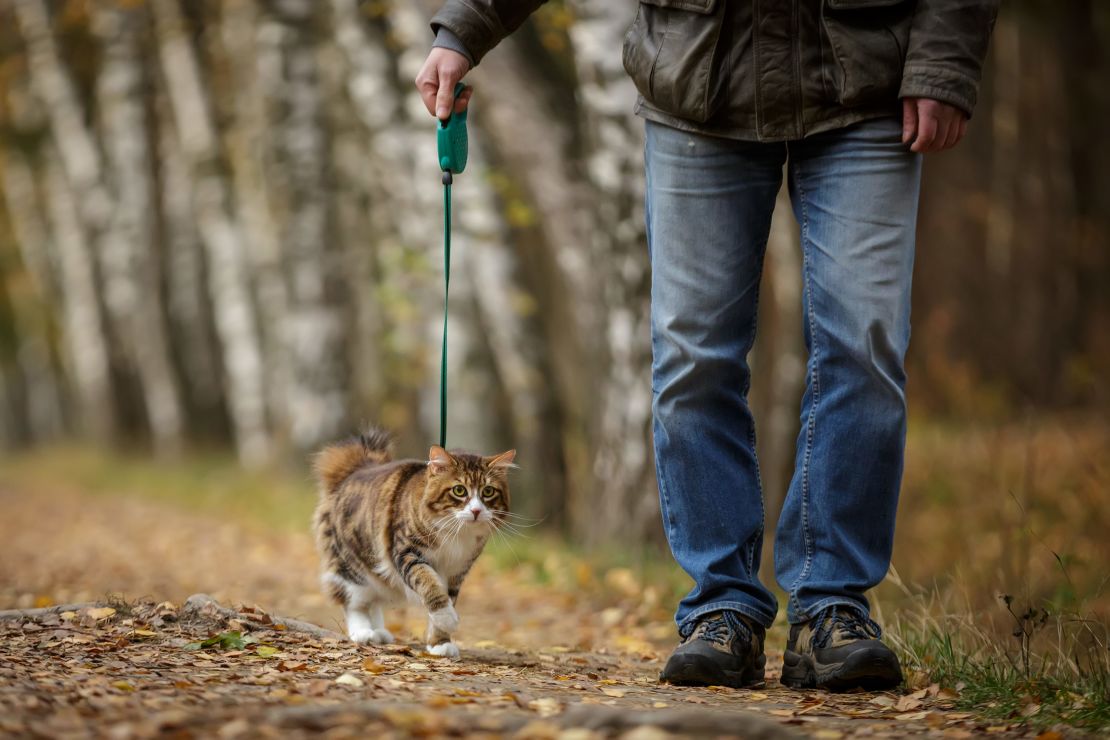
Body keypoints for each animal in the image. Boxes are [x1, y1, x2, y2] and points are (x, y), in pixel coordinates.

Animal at [313, 428, 515, 661]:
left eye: (488, 492)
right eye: (459, 490)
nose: (476, 511)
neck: (457, 533)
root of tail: (358, 468)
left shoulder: (457, 572)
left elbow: (447, 597)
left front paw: (440, 643)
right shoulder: (407, 554)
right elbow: (431, 587)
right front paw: (448, 619)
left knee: (373, 602)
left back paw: (379, 631)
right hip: (353, 567)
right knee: (356, 603)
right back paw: (364, 633)